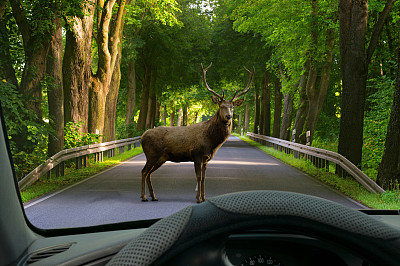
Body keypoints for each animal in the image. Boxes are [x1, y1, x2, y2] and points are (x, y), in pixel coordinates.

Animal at [140, 62, 253, 204]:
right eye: (221, 106)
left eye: (232, 107)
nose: (229, 116)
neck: (211, 142)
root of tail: (142, 137)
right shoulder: (197, 154)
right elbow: (198, 177)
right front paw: (198, 198)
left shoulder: (206, 159)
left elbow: (204, 178)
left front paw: (204, 197)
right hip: (152, 154)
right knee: (144, 171)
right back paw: (144, 197)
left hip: (161, 157)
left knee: (148, 173)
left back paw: (153, 196)